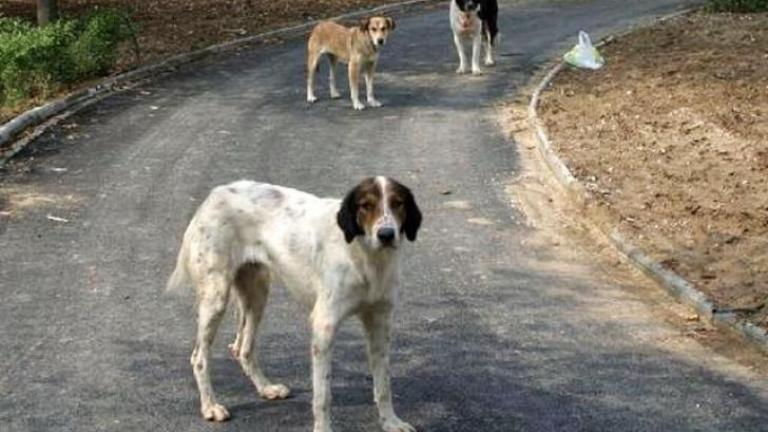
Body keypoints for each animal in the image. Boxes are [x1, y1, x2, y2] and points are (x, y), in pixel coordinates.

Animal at [168, 176, 424, 432]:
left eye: (398, 203)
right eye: (366, 205)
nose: (386, 234)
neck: (366, 257)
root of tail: (215, 194)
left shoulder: (380, 323)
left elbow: (384, 385)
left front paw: (391, 422)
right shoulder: (324, 326)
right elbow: (323, 396)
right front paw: (323, 429)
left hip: (258, 294)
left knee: (243, 349)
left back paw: (266, 388)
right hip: (216, 297)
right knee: (199, 358)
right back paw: (210, 406)